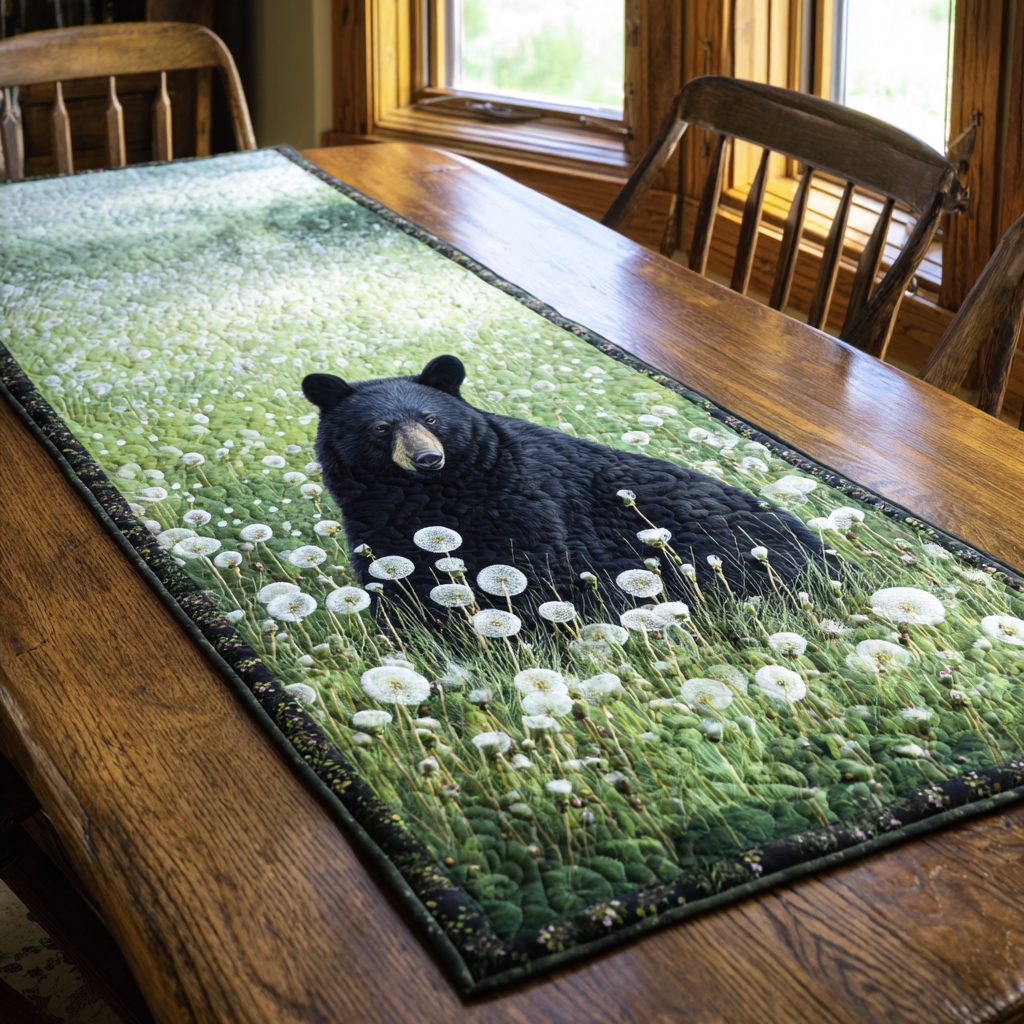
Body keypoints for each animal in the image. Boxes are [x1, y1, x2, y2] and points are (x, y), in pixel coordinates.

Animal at [301, 354, 828, 615]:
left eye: (431, 418)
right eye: (380, 428)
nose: (428, 458)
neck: (425, 499)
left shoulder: (520, 502)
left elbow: (534, 572)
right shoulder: (376, 526)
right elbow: (395, 588)